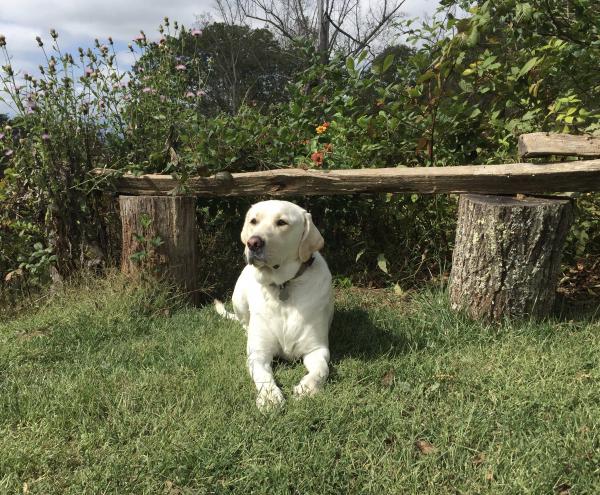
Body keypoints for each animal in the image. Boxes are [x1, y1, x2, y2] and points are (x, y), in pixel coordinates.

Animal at [216, 200, 336, 408]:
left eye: (282, 222)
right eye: (253, 221)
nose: (253, 243)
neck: (283, 284)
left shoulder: (317, 350)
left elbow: (322, 370)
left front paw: (307, 387)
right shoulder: (258, 353)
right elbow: (263, 375)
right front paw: (269, 396)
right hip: (238, 298)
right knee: (244, 321)